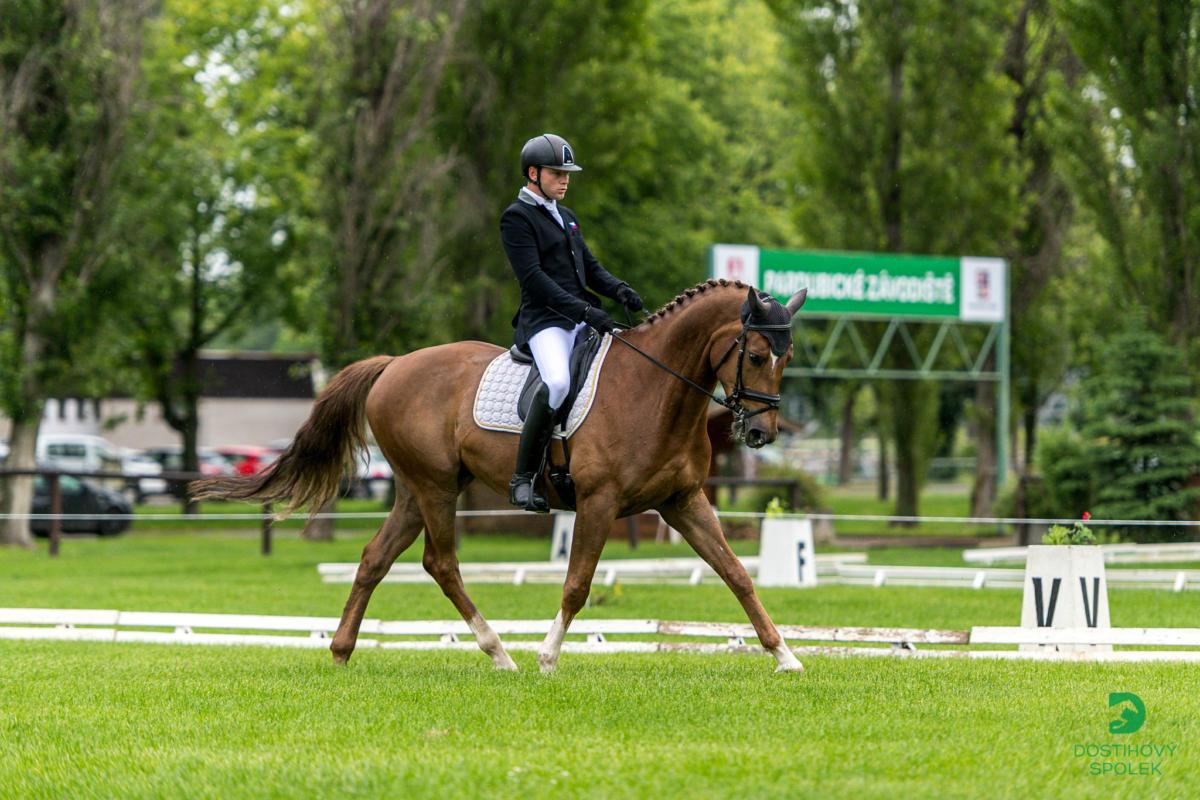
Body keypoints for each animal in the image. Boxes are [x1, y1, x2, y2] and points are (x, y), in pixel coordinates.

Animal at [194, 278, 806, 671]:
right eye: (756, 356)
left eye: (789, 357)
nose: (761, 434)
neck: (655, 391)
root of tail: (393, 365)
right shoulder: (600, 502)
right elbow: (578, 584)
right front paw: (548, 657)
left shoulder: (684, 500)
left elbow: (736, 573)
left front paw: (785, 655)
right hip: (436, 487)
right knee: (440, 564)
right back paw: (500, 652)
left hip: (416, 491)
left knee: (374, 559)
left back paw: (342, 651)